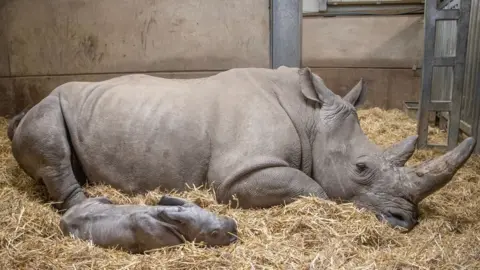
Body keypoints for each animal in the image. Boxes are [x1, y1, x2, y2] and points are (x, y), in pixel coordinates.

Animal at [7, 66, 476, 231]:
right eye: (362, 168)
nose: (406, 221)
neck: (310, 119)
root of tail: (20, 114)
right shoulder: (241, 171)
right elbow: (315, 189)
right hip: (47, 107)